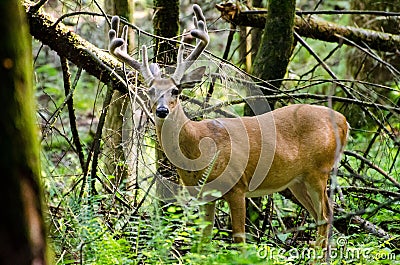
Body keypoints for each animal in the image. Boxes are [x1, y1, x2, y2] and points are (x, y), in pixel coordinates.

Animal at [108, 4, 348, 246]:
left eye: (176, 90)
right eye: (150, 90)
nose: (162, 110)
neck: (199, 146)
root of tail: (343, 121)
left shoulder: (237, 186)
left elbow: (239, 240)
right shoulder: (204, 195)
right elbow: (204, 240)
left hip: (319, 170)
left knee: (326, 214)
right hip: (296, 180)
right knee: (319, 216)